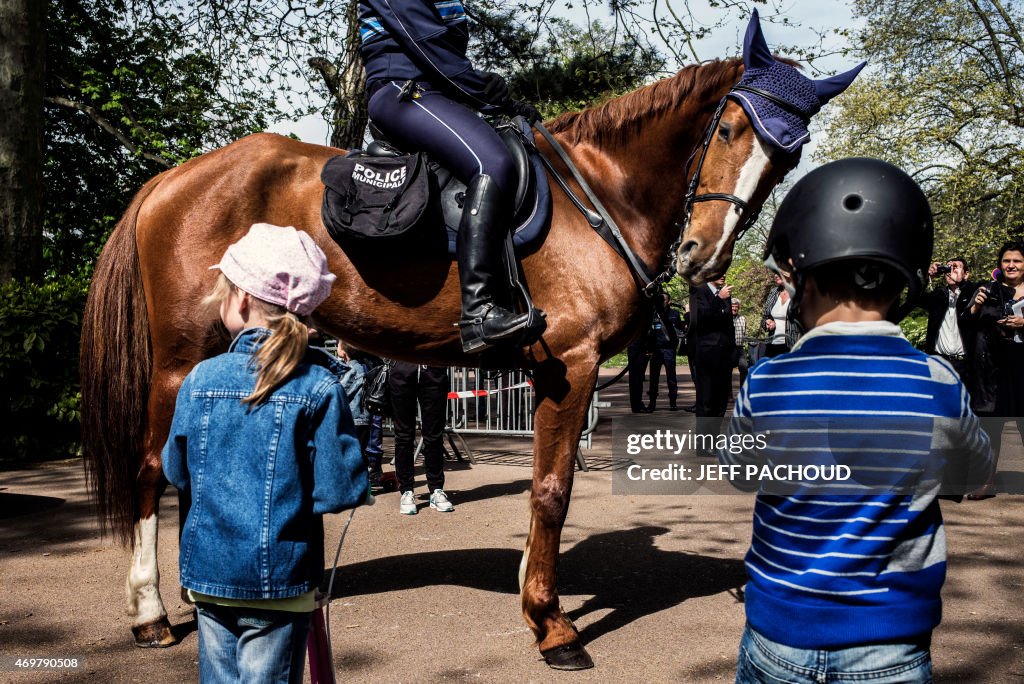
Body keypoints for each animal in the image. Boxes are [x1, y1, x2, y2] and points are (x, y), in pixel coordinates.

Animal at [81, 25, 856, 663]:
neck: (597, 197)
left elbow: (549, 490)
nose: (704, 256)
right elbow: (551, 490)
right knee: (150, 470)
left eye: (786, 157)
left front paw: (532, 594)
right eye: (728, 129)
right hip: (178, 358)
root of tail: (172, 178)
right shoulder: (571, 366)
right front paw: (551, 625)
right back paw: (151, 613)